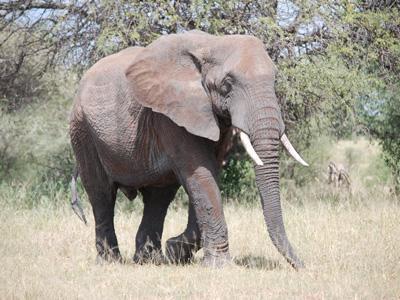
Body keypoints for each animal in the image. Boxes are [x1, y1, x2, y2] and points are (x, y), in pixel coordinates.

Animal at [70, 30, 310, 270]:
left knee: (158, 197)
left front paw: (175, 250)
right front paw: (217, 266)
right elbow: (201, 175)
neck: (212, 44)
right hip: (82, 130)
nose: (302, 266)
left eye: (274, 81)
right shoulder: (170, 115)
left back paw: (150, 260)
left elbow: (209, 174)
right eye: (227, 85)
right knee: (101, 193)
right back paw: (111, 262)